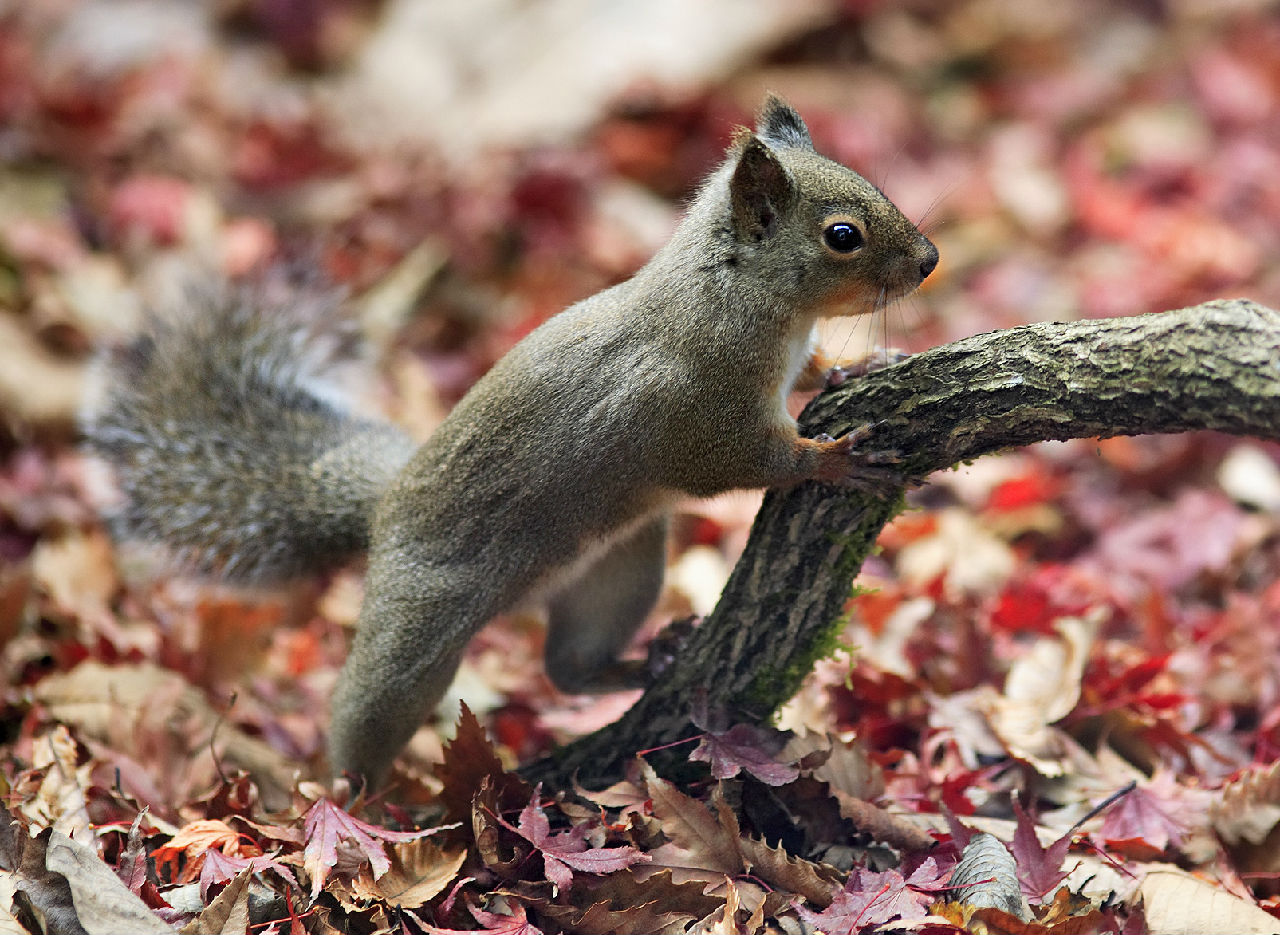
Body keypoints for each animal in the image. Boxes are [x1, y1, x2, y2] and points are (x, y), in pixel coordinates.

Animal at [84, 96, 938, 789]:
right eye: (842, 235)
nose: (930, 260)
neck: (739, 292)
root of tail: (382, 510)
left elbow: (815, 373)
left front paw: (859, 364)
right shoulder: (696, 410)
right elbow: (740, 461)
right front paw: (832, 459)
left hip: (618, 570)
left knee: (569, 667)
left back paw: (647, 658)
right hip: (419, 626)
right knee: (368, 705)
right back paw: (353, 801)